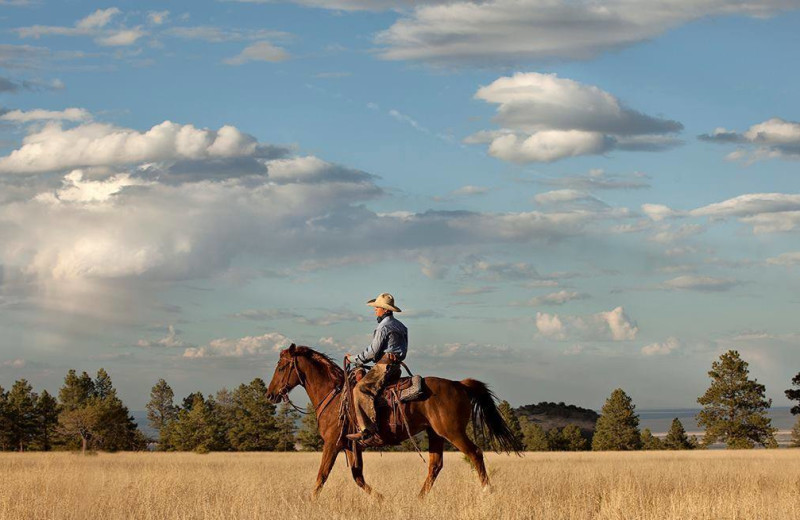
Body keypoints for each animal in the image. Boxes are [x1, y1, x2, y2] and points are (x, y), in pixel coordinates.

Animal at [266, 344, 520, 498]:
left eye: (281, 366)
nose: (270, 395)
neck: (334, 394)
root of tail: (459, 384)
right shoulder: (350, 444)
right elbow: (357, 476)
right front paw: (381, 499)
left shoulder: (332, 443)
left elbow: (322, 475)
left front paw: (311, 501)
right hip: (435, 434)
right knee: (435, 465)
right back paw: (419, 499)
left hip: (453, 432)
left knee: (475, 453)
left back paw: (487, 491)